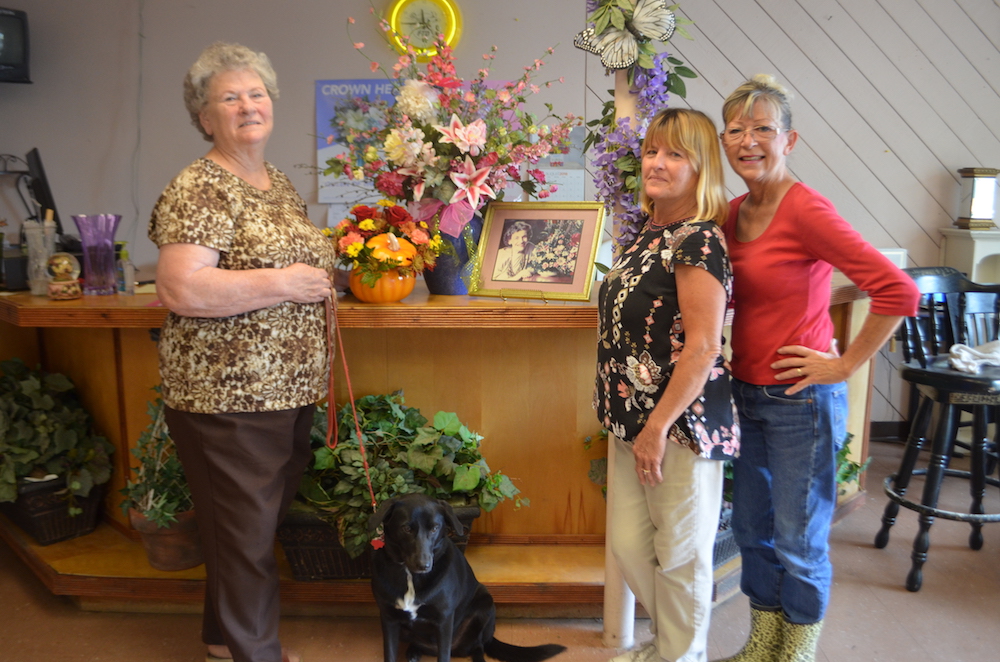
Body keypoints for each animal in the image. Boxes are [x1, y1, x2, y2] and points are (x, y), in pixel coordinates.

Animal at [370, 492, 572, 662]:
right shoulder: (389, 619)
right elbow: (389, 654)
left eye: (435, 528)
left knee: (477, 648)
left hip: (484, 603)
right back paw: (413, 652)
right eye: (406, 528)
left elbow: (444, 656)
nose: (424, 565)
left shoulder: (444, 620)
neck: (410, 577)